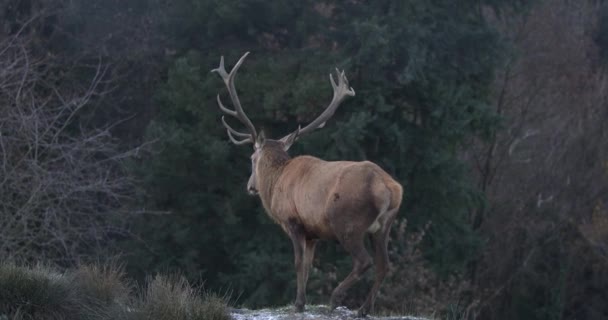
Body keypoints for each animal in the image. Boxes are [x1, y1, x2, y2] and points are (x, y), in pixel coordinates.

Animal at [211, 52, 402, 318]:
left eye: (252, 158)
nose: (250, 187)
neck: (276, 182)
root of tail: (389, 189)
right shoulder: (314, 233)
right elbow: (309, 265)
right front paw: (302, 300)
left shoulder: (293, 221)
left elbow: (298, 262)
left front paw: (299, 303)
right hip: (383, 227)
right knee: (385, 265)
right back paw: (364, 309)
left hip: (348, 222)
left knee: (365, 261)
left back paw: (336, 298)